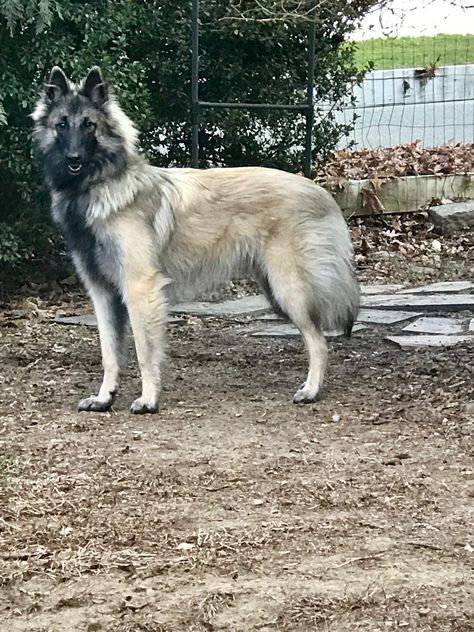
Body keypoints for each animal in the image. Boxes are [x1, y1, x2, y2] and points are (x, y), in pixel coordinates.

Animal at [32, 66, 360, 414]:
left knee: (319, 342)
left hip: (289, 289)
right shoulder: (103, 293)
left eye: (89, 125)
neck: (100, 186)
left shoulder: (140, 288)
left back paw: (311, 391)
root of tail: (320, 190)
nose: (73, 158)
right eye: (61, 124)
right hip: (274, 288)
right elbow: (109, 353)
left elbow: (144, 351)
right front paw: (104, 397)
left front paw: (148, 399)